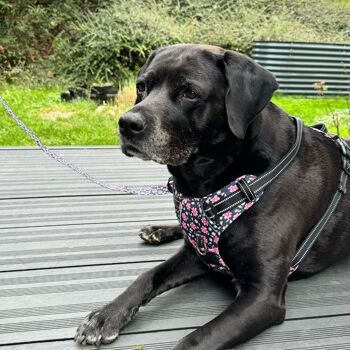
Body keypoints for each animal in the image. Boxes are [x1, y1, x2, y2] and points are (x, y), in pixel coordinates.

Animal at [74, 44, 350, 350]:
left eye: (190, 92)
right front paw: (106, 316)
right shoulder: (199, 254)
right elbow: (147, 276)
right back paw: (158, 229)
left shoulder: (262, 295)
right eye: (142, 86)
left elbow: (193, 341)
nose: (127, 123)